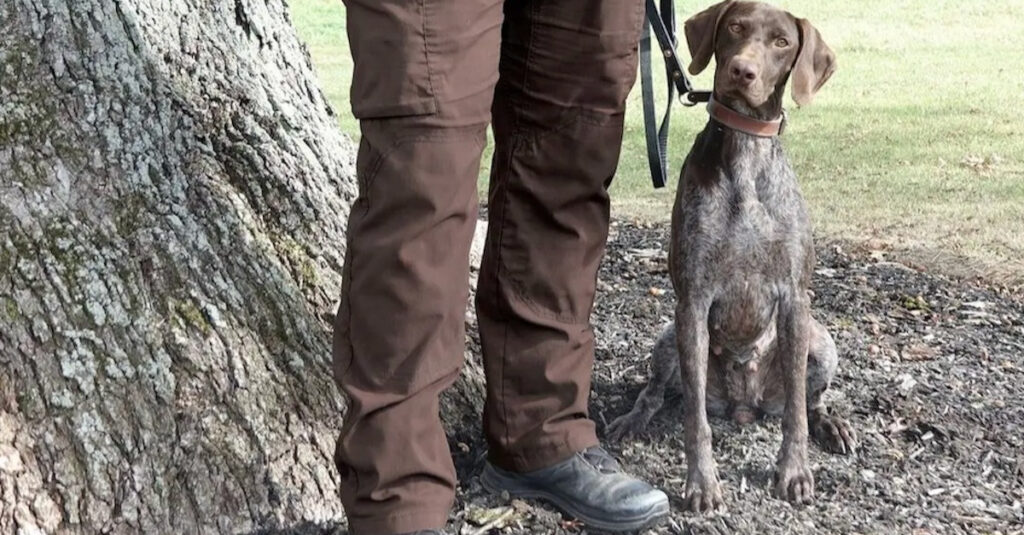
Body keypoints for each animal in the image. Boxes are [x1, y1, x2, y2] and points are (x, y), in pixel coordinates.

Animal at [606, 0, 856, 508]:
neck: (746, 153)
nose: (743, 70)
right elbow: (694, 419)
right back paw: (632, 420)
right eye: (736, 28)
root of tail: (744, 405)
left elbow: (797, 413)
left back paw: (831, 424)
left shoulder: (796, 298)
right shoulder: (693, 300)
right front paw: (702, 482)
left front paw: (794, 471)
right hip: (668, 339)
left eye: (782, 42)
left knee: (811, 400)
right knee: (655, 393)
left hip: (822, 343)